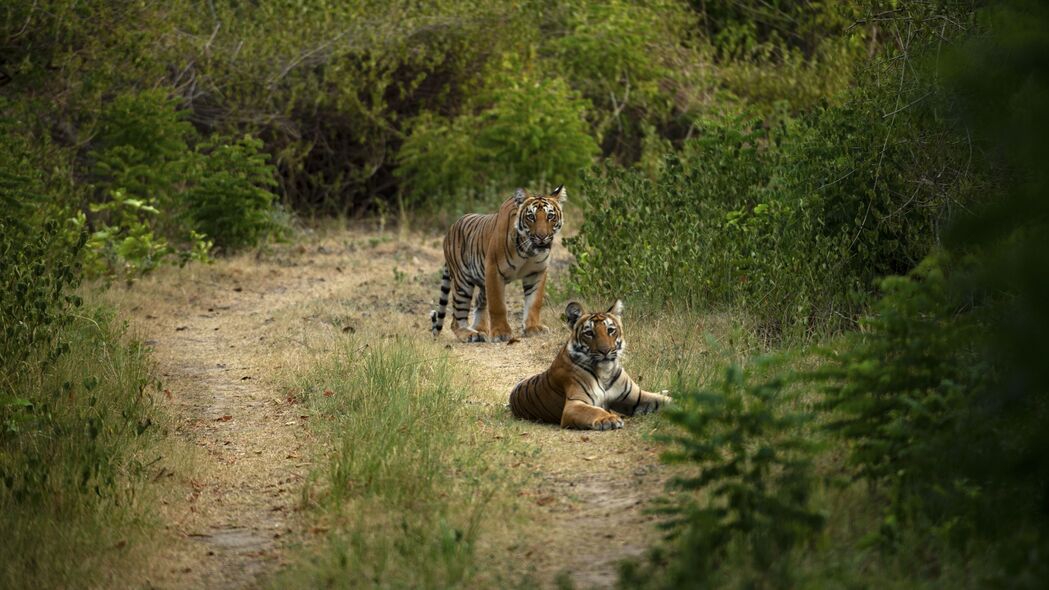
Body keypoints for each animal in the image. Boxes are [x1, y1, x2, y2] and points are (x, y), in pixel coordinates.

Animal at [427, 182, 566, 340]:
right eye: (531, 217)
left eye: (550, 216)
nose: (542, 236)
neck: (528, 251)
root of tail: (450, 230)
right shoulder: (493, 270)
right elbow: (497, 305)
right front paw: (501, 333)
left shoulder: (537, 272)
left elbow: (534, 302)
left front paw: (533, 328)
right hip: (462, 282)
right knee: (456, 320)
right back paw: (470, 335)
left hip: (481, 280)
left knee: (479, 302)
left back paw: (480, 330)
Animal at [507, 298, 671, 426]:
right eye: (589, 333)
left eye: (610, 330)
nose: (605, 351)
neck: (605, 372)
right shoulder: (574, 405)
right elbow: (593, 411)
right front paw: (609, 419)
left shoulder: (637, 397)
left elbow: (663, 400)